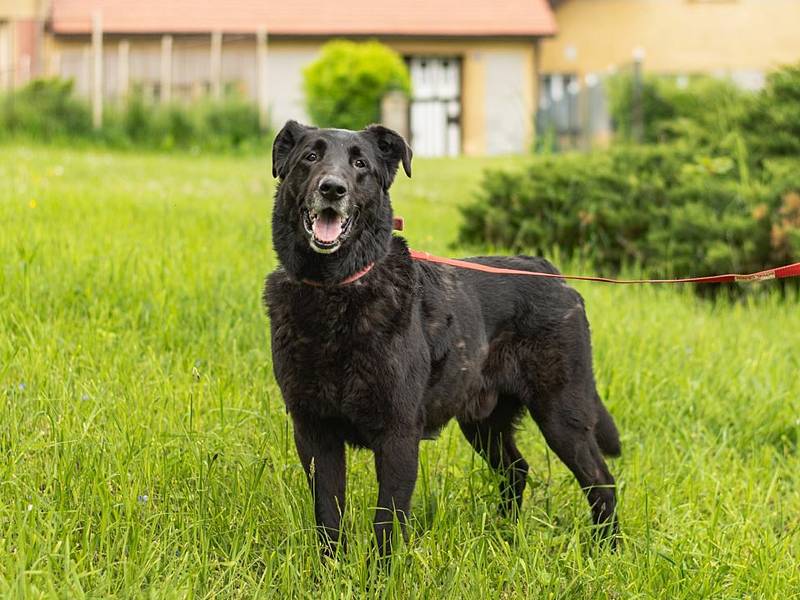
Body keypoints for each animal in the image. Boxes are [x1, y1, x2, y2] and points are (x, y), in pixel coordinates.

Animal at [266, 122, 620, 556]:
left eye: (360, 164)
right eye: (310, 157)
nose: (333, 188)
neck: (336, 290)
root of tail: (552, 272)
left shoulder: (399, 435)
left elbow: (387, 523)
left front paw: (381, 572)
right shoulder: (315, 433)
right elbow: (329, 517)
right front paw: (331, 569)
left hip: (561, 415)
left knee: (601, 480)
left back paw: (608, 550)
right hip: (483, 422)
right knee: (517, 470)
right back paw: (504, 533)